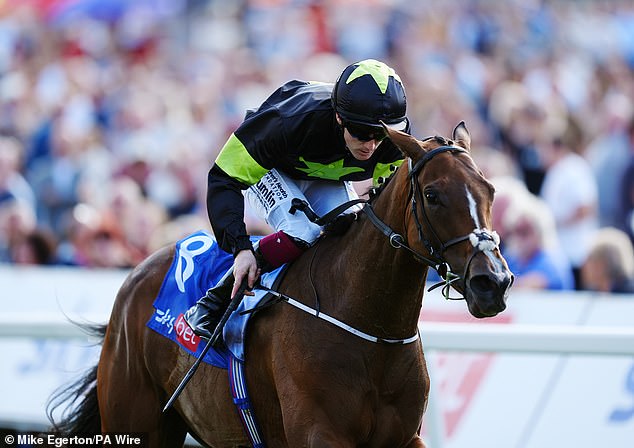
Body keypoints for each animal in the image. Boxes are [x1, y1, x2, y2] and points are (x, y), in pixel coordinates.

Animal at [49, 121, 512, 446]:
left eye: (490, 189)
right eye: (433, 195)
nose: (493, 281)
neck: (372, 327)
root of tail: (137, 274)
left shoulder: (404, 437)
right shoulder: (319, 434)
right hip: (137, 422)